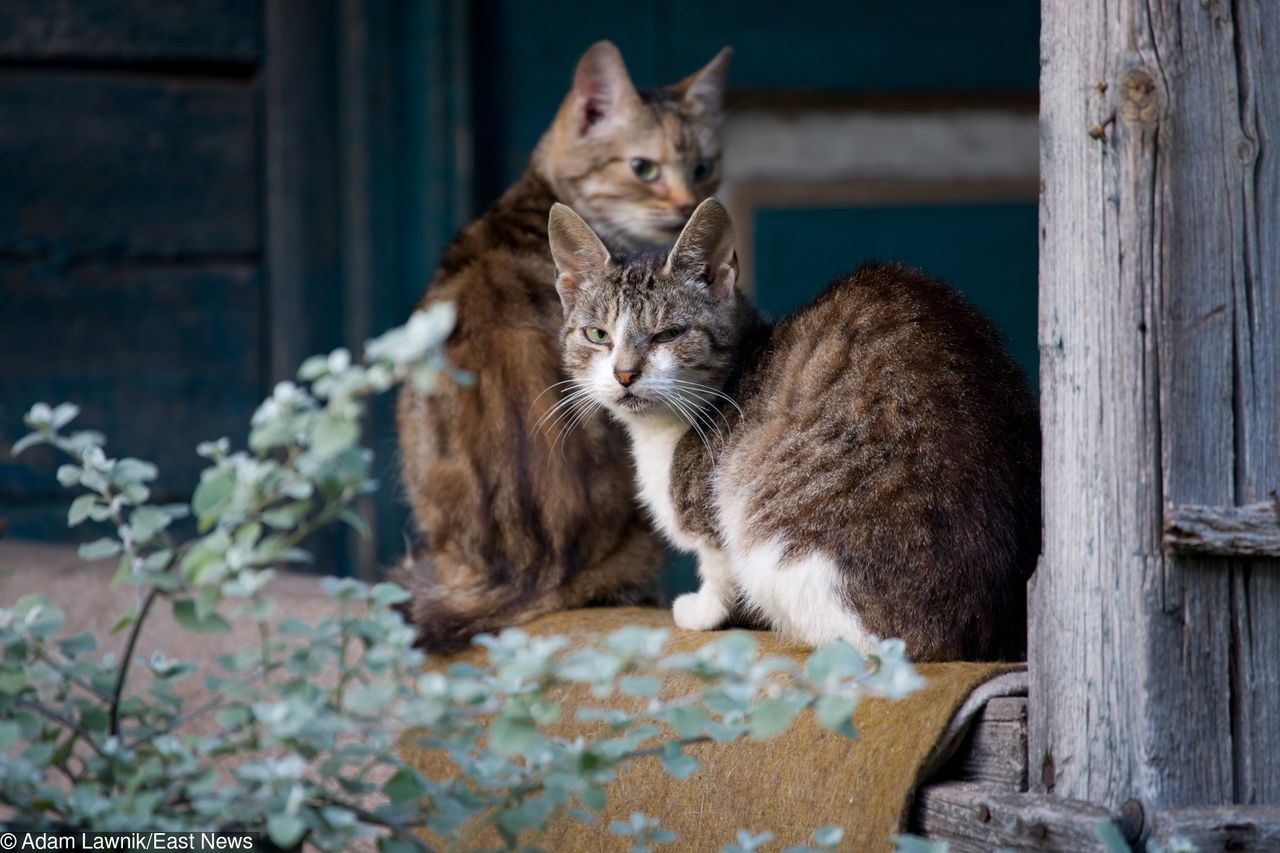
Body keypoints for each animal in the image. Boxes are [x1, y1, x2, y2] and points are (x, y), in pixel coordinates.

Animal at [547, 197, 1039, 655]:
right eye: (597, 335)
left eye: (669, 334)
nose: (625, 373)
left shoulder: (715, 517)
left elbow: (717, 565)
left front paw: (702, 610)